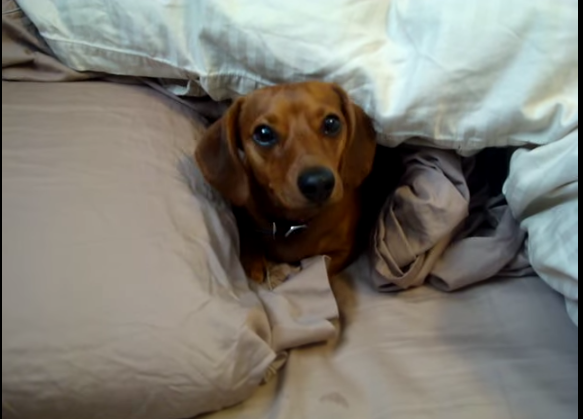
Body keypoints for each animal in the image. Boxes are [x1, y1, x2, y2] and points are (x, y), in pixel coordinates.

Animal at [196, 81, 378, 284]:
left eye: (332, 123)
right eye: (263, 133)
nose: (319, 183)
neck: (294, 225)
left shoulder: (344, 251)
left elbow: (323, 268)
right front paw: (253, 262)